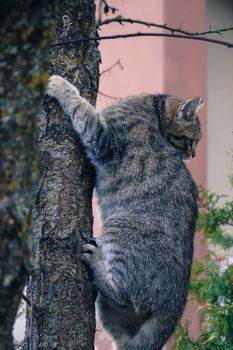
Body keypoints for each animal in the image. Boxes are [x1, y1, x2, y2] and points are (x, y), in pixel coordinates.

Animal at [46, 76, 202, 350]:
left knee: (123, 295)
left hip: (120, 225)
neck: (152, 108)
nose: (193, 155)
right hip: (112, 315)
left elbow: (80, 107)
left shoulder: (105, 141)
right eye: (192, 141)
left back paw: (96, 260)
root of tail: (174, 304)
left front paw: (61, 86)